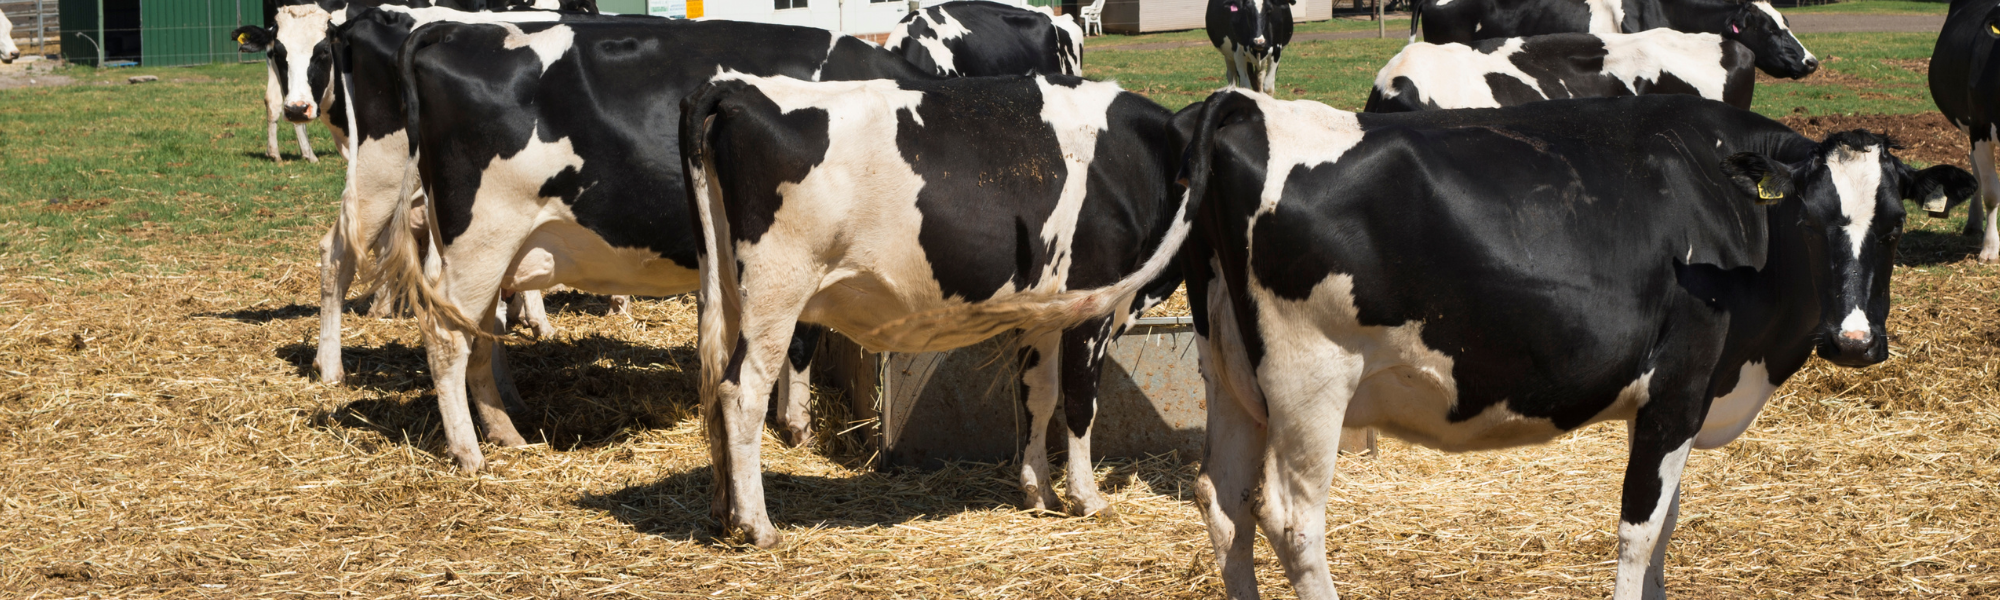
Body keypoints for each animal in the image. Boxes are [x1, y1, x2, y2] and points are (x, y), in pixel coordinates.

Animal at [367, 19, 946, 477]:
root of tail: (456, 29)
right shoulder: (802, 246)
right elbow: (801, 342)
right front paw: (797, 427)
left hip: (488, 249)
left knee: (480, 335)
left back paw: (507, 432)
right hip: (483, 235)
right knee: (447, 338)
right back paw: (469, 454)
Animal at [662, 72, 1188, 548]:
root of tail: (734, 87)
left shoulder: (1045, 312)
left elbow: (1038, 396)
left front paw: (1040, 491)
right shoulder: (1093, 301)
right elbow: (1080, 402)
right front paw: (1088, 498)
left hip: (725, 290)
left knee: (716, 384)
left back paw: (724, 513)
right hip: (776, 291)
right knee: (741, 393)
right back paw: (757, 526)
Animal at [1171, 90, 1975, 600]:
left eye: (1895, 226)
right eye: (1808, 221)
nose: (1854, 342)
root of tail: (1250, 107)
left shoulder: (1677, 406)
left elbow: (1666, 526)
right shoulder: (1678, 387)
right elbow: (1640, 533)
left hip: (1232, 378)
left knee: (1223, 502)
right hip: (1311, 383)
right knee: (1291, 521)